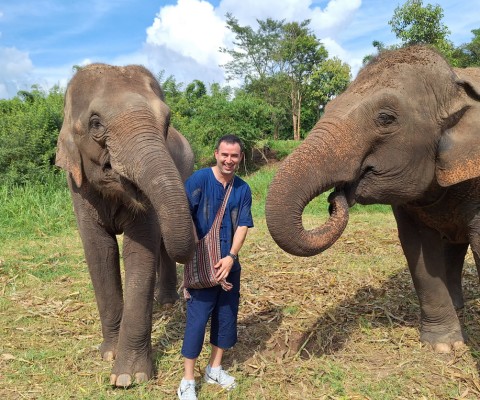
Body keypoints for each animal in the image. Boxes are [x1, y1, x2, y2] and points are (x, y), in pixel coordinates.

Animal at [54, 63, 193, 388]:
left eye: (166, 120)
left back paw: (165, 302)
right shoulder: (78, 188)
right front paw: (109, 354)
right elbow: (100, 250)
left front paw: (129, 377)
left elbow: (140, 250)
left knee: (163, 243)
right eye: (95, 123)